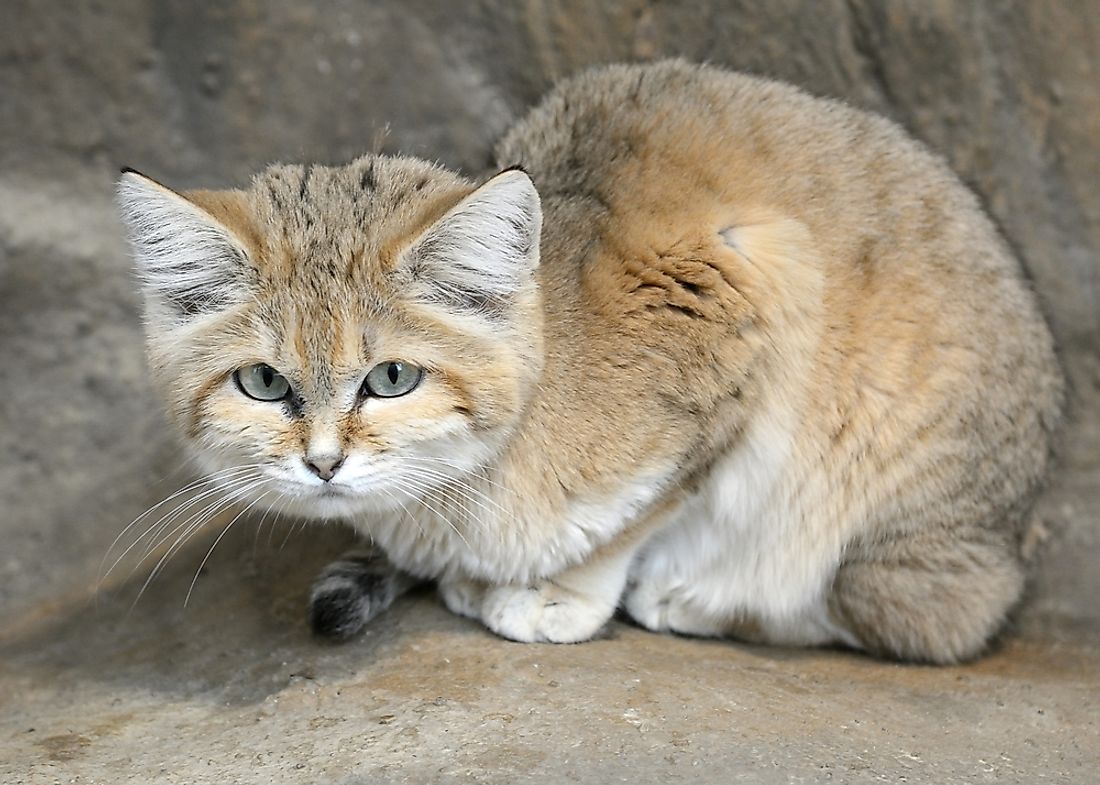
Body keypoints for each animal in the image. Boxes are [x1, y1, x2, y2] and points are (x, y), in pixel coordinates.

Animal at [118, 59, 1064, 659]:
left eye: (390, 378)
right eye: (263, 382)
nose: (322, 464)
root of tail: (1017, 530)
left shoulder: (752, 305)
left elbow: (636, 518)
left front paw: (562, 591)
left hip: (892, 546)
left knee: (915, 619)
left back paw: (704, 600)